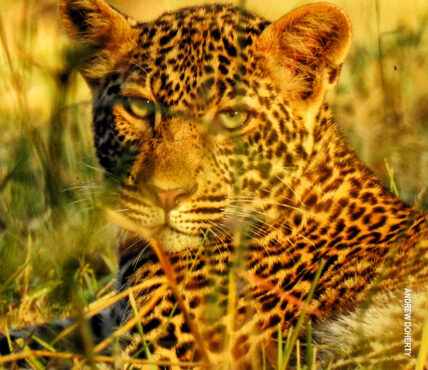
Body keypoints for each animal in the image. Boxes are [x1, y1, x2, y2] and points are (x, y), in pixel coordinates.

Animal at [2, 0, 428, 368]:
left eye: (234, 117)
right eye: (139, 108)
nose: (166, 194)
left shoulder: (160, 357)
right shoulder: (103, 325)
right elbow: (27, 336)